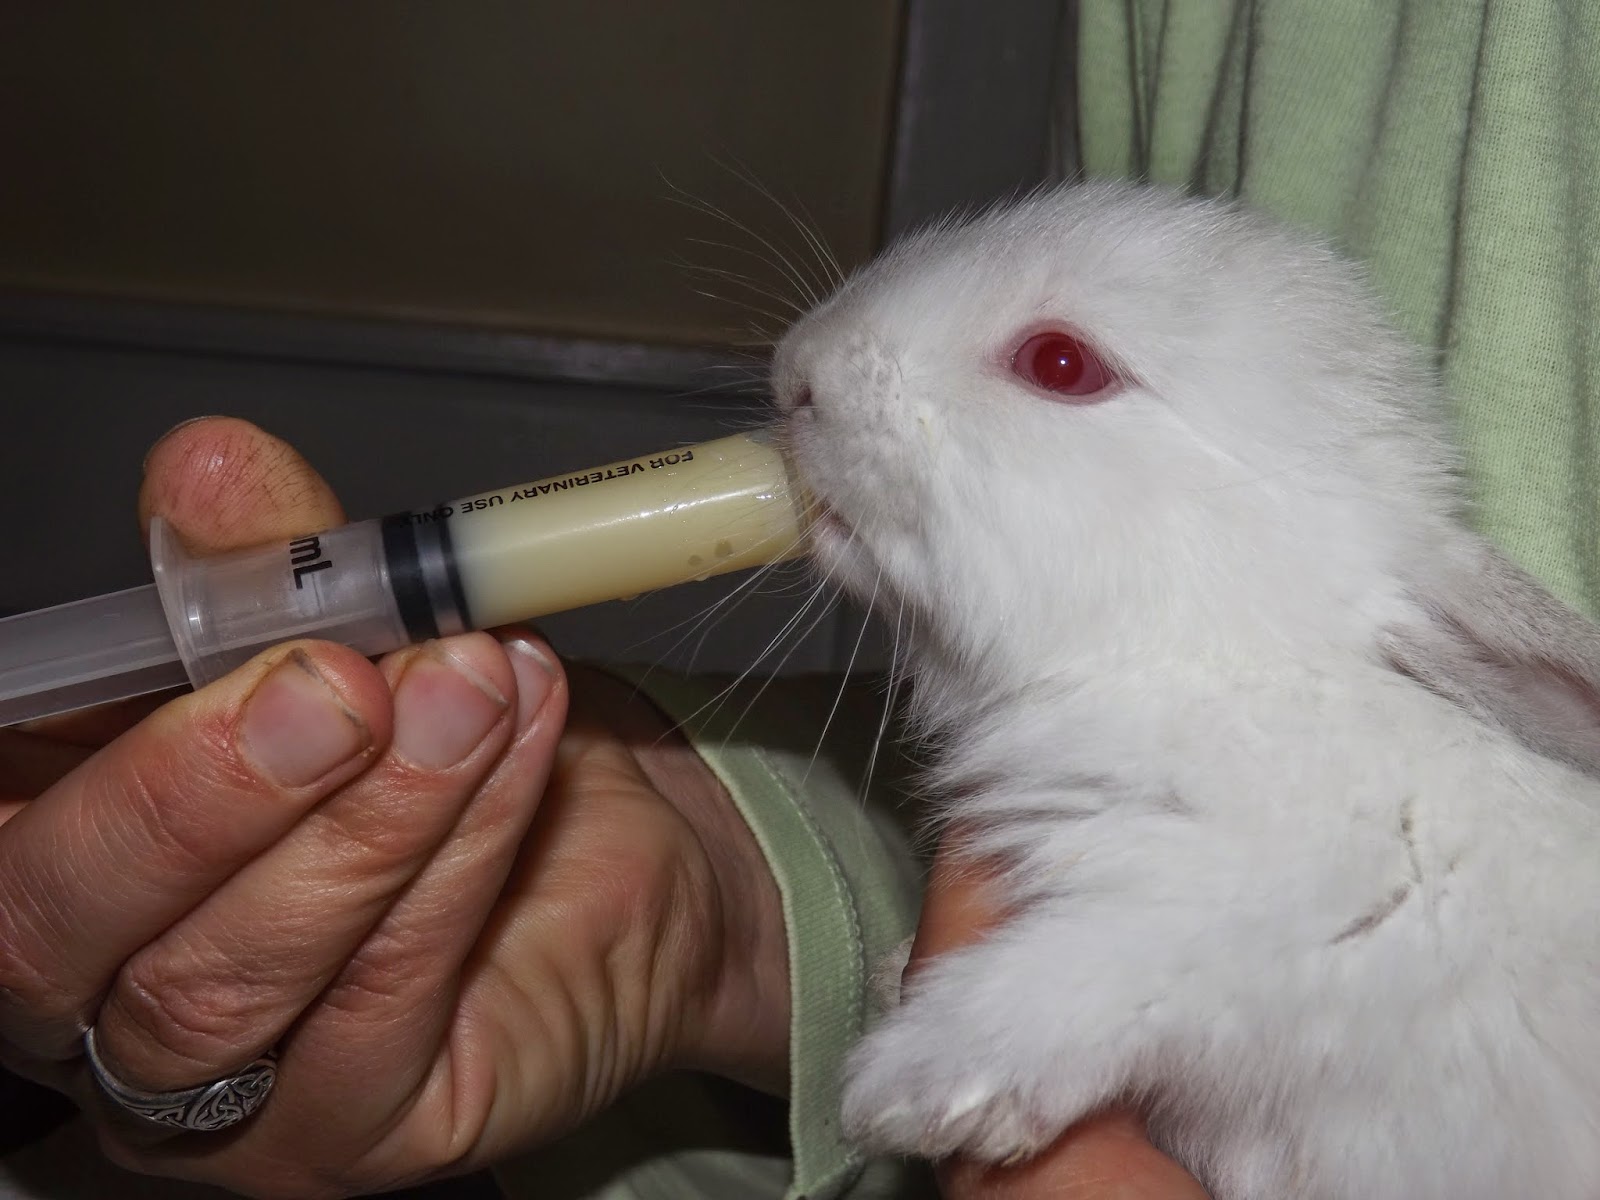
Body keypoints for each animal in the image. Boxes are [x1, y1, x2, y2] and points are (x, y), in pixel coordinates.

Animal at [770, 179, 1600, 1199]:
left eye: (1060, 364)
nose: (795, 372)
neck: (1218, 658)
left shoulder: (1315, 901)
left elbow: (1115, 971)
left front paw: (912, 1083)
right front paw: (894, 979)